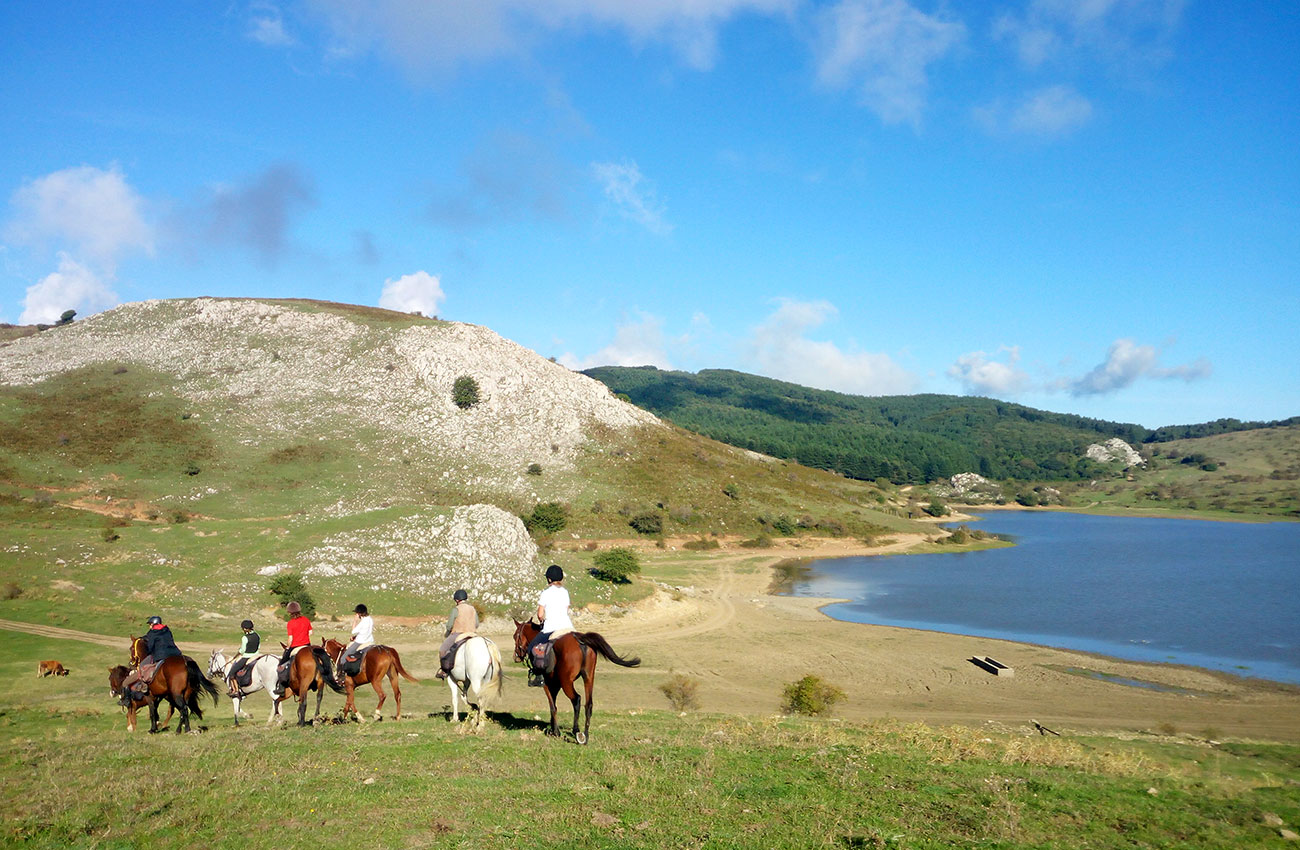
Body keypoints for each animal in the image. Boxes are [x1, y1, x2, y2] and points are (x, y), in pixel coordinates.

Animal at [514, 618, 642, 748]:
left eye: (515, 636)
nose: (516, 657)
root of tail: (580, 640)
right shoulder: (556, 685)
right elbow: (554, 705)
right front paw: (552, 728)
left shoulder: (547, 684)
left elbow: (552, 706)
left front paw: (556, 732)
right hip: (588, 678)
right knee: (588, 704)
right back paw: (586, 735)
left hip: (567, 682)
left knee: (576, 699)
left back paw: (577, 732)